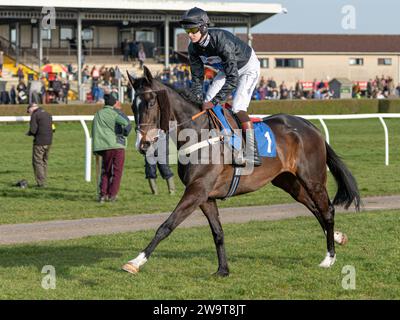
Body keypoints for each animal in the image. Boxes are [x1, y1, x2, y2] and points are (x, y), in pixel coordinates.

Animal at [121, 66, 360, 276]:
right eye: (133, 105)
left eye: (151, 102)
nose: (142, 144)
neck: (198, 134)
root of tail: (311, 126)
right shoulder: (205, 195)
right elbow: (218, 232)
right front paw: (223, 270)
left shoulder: (197, 190)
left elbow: (166, 225)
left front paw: (135, 262)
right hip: (288, 181)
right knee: (315, 208)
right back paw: (338, 237)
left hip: (313, 179)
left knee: (327, 210)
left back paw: (329, 257)